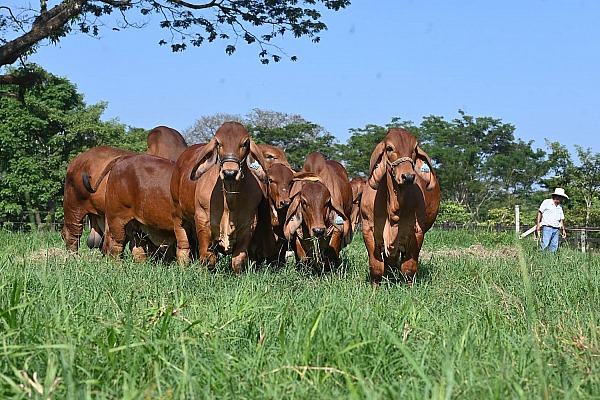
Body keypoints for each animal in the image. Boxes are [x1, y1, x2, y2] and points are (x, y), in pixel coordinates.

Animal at [170, 122, 270, 272]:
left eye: (245, 143)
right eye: (218, 143)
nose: (229, 173)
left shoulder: (249, 225)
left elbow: (238, 260)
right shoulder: (203, 220)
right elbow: (207, 258)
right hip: (178, 214)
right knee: (183, 246)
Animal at [360, 128, 440, 284]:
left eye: (414, 149)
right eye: (389, 148)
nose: (408, 177)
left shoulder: (417, 232)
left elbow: (409, 268)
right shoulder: (367, 229)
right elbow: (376, 268)